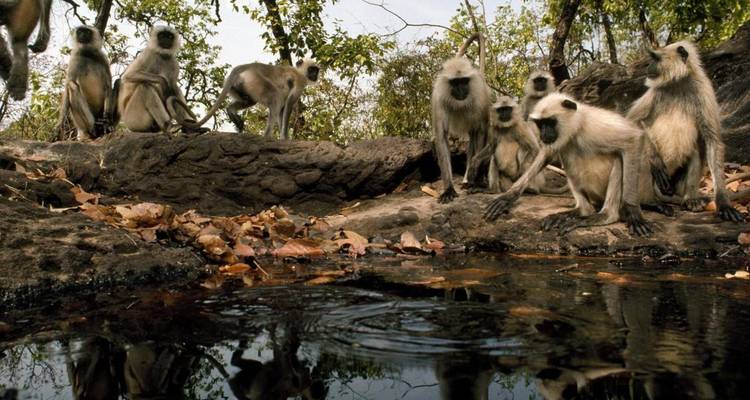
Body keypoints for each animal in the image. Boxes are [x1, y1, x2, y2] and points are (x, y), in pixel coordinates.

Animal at [178, 58, 320, 139]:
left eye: (316, 70)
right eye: (311, 69)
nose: (315, 75)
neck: (299, 72)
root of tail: (251, 66)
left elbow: (282, 111)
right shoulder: (300, 82)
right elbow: (288, 105)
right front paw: (284, 138)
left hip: (239, 86)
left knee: (250, 101)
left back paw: (231, 111)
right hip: (255, 80)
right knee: (275, 96)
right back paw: (266, 137)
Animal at [431, 32, 490, 203]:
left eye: (464, 81)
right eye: (455, 82)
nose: (461, 90)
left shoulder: (479, 98)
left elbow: (481, 131)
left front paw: (475, 181)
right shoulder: (439, 98)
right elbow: (441, 136)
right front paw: (449, 189)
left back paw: (474, 180)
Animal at [484, 93, 664, 237]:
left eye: (550, 122)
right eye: (541, 124)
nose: (544, 133)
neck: (578, 126)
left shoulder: (596, 126)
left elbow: (634, 139)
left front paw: (633, 212)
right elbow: (548, 153)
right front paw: (509, 196)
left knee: (619, 158)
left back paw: (607, 215)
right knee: (568, 151)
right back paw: (582, 211)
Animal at [627, 41, 744, 222]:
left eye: (655, 58)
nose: (648, 66)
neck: (678, 83)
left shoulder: (703, 90)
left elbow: (712, 141)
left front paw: (724, 203)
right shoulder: (654, 92)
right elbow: (631, 122)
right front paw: (656, 160)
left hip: (676, 186)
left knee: (696, 151)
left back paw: (690, 200)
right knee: (640, 152)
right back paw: (650, 203)